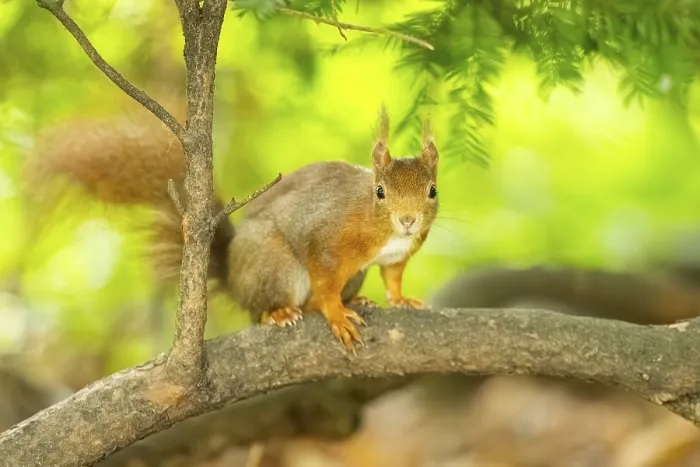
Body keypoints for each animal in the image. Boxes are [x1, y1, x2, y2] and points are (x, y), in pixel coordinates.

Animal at [24, 106, 440, 351]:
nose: (408, 220)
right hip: (275, 266)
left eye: (433, 190)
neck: (386, 232)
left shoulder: (399, 255)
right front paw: (336, 314)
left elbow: (393, 276)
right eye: (380, 192)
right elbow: (323, 282)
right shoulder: (325, 238)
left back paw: (355, 300)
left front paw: (402, 299)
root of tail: (234, 278)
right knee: (265, 308)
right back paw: (280, 313)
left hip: (352, 275)